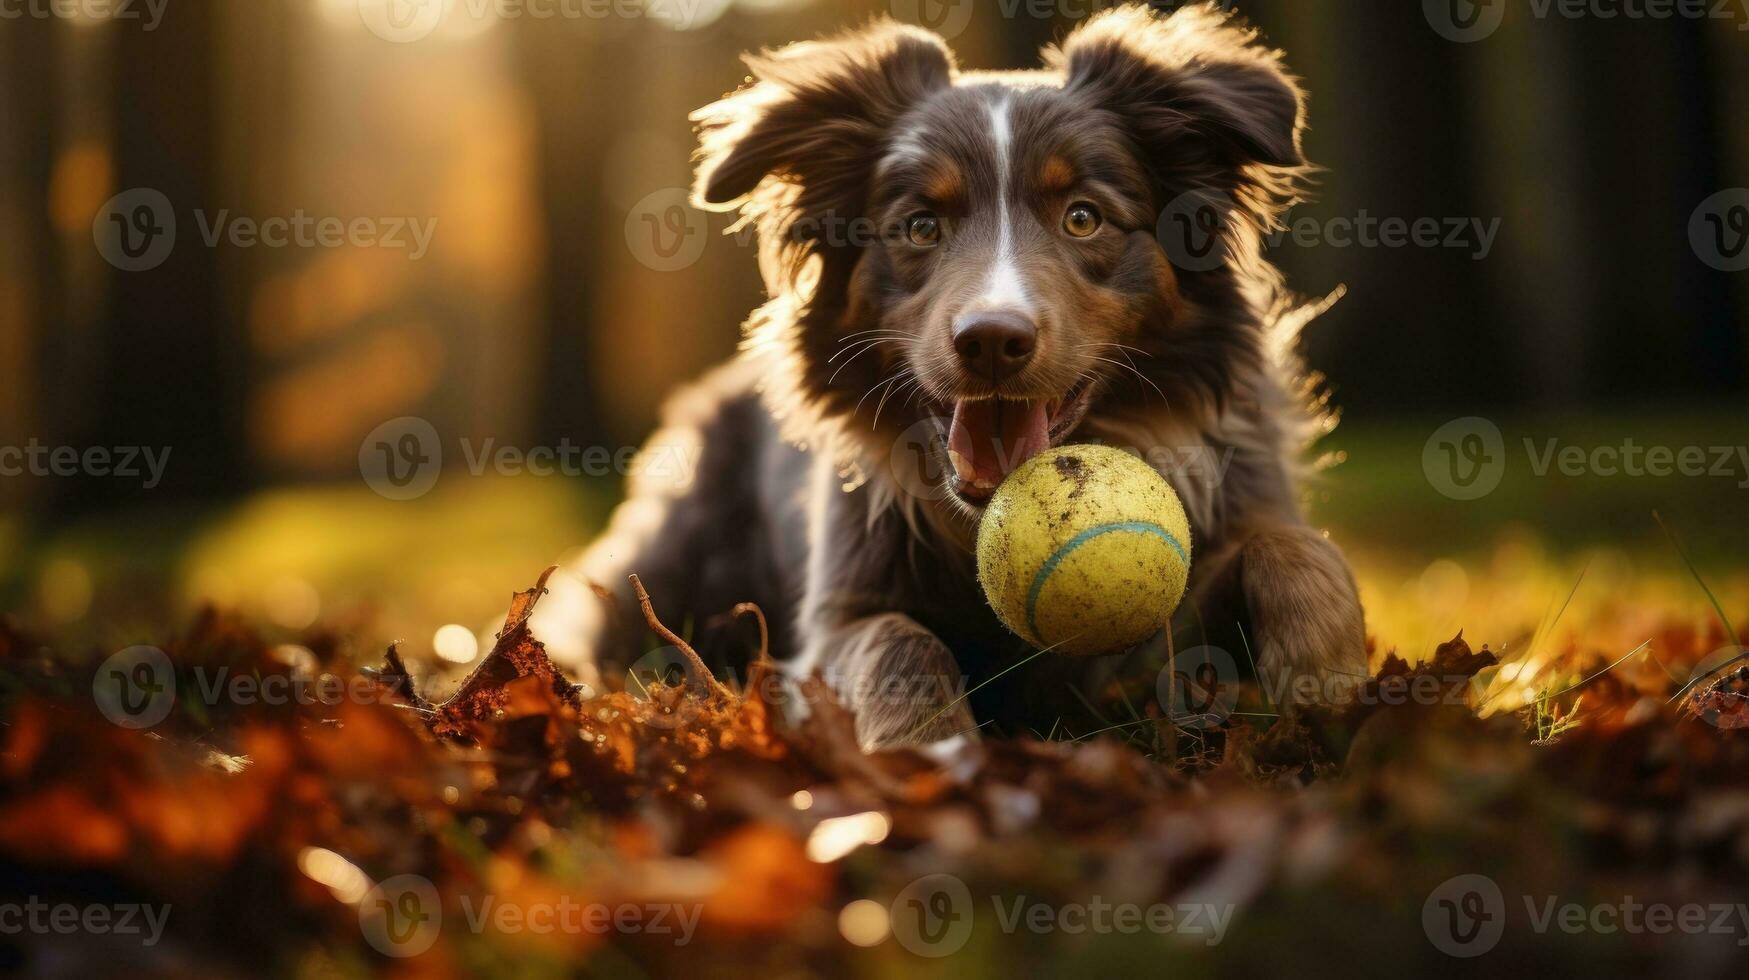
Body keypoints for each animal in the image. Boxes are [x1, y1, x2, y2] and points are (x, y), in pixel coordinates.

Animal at [573, 3, 1364, 745]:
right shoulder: (837, 619)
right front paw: (932, 746)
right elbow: (899, 641)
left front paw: (1328, 678)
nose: (990, 340)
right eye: (921, 226)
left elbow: (1288, 547)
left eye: (1083, 217)